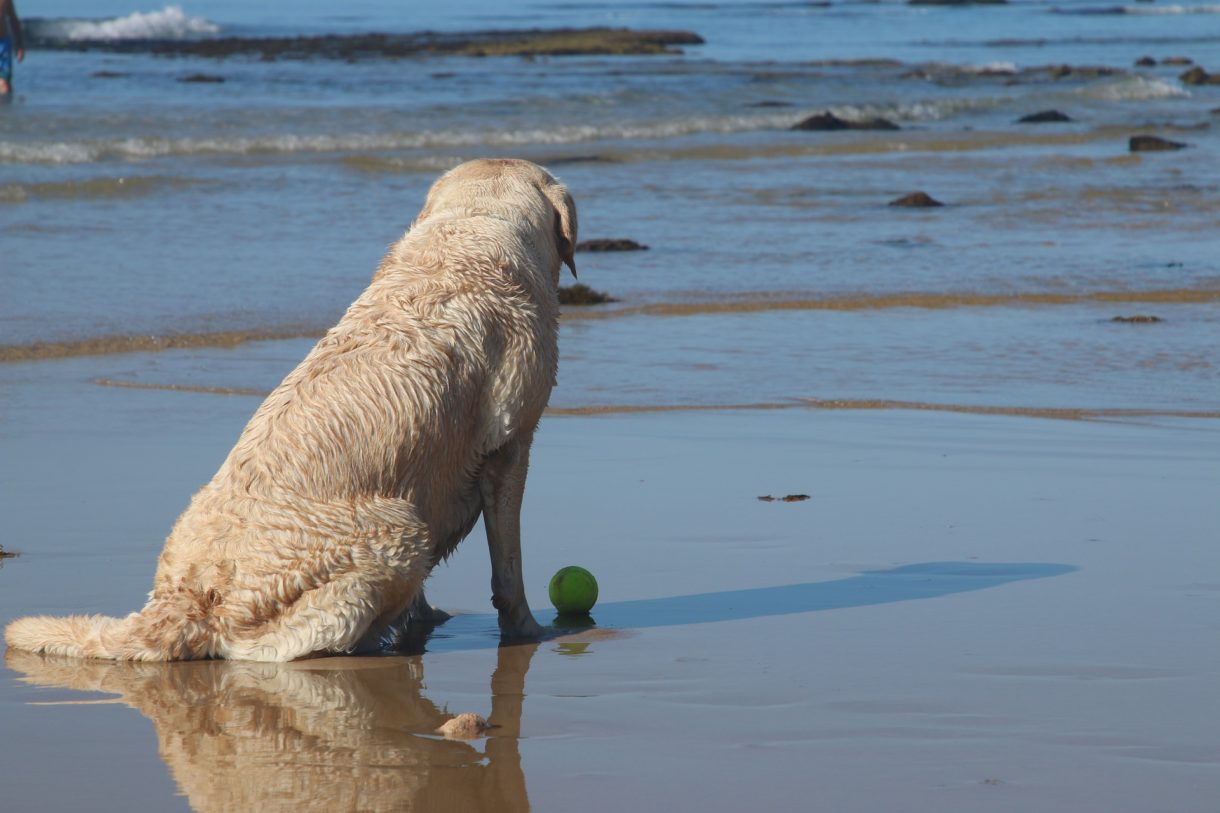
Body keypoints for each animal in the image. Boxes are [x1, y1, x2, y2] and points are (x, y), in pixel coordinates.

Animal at [5, 156, 575, 659]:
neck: (471, 228)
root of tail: (186, 601)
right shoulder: (512, 446)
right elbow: (509, 565)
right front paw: (527, 629)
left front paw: (430, 618)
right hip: (399, 530)